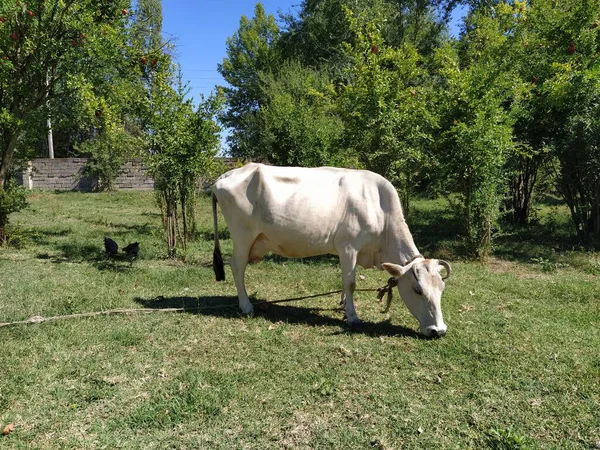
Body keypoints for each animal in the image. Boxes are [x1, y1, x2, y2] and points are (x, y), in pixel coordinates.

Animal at [211, 163, 450, 336]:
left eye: (441, 289)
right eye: (418, 290)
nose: (439, 331)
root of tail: (224, 176)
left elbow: (345, 280)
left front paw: (343, 304)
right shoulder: (349, 246)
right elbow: (351, 282)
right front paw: (353, 317)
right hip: (242, 236)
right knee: (237, 267)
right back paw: (246, 306)